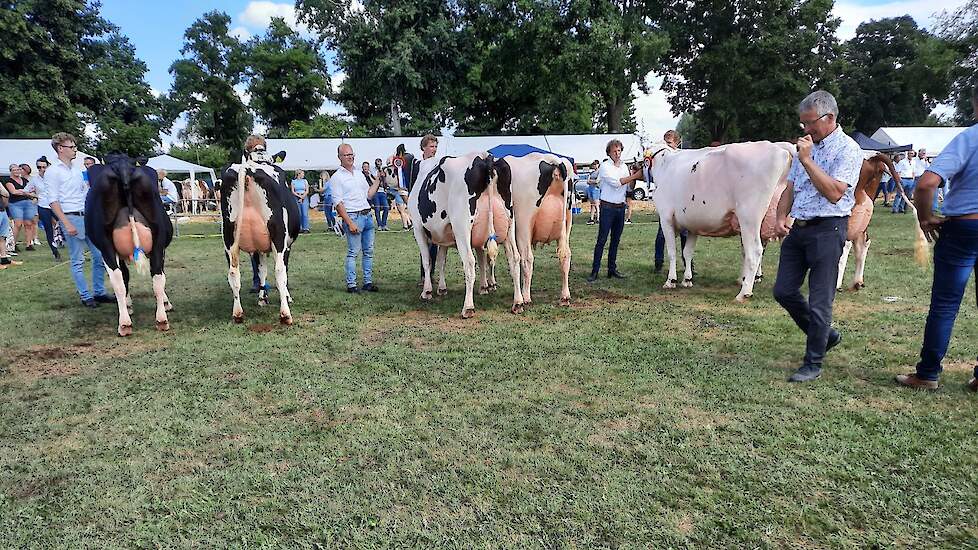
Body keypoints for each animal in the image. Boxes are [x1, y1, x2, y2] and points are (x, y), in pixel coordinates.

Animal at [85, 154, 174, 336]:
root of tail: (123, 166)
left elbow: (125, 276)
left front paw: (129, 304)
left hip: (106, 245)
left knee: (119, 279)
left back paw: (125, 323)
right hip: (156, 241)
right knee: (156, 276)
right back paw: (160, 320)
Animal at [220, 149, 300, 326]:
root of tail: (248, 167)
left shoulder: (257, 248)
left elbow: (261, 270)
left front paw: (263, 298)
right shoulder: (287, 246)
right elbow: (283, 271)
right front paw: (286, 296)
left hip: (228, 237)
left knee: (233, 273)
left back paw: (238, 313)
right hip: (278, 235)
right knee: (279, 271)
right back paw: (285, 315)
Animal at [406, 152, 524, 320]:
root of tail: (485, 157)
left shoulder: (418, 229)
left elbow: (427, 260)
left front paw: (427, 291)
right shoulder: (443, 235)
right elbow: (441, 260)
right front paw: (442, 288)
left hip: (462, 227)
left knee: (469, 261)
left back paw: (468, 307)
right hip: (509, 226)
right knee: (514, 259)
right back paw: (518, 303)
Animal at [492, 154, 576, 306]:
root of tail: (554, 160)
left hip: (523, 224)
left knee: (527, 258)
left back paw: (525, 297)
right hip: (567, 221)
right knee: (565, 255)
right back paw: (565, 296)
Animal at [836, 153, 928, 292]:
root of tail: (871, 157)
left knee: (846, 244)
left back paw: (837, 284)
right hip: (863, 217)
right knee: (863, 243)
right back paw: (857, 282)